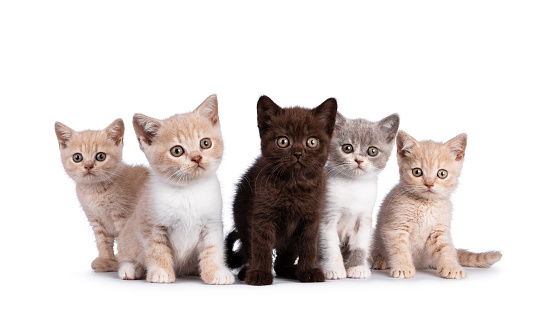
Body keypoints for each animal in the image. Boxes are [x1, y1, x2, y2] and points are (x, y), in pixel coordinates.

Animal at [55, 119, 149, 272]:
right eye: (77, 157)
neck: (95, 191)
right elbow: (102, 242)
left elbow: (124, 239)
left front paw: (124, 262)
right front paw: (107, 260)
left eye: (100, 156)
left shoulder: (123, 217)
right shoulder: (96, 220)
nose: (88, 166)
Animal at [118, 95, 236, 286]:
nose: (197, 157)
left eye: (205, 143)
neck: (188, 190)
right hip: (126, 236)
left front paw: (216, 272)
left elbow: (212, 249)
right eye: (177, 151)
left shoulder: (211, 225)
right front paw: (161, 272)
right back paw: (130, 269)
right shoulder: (151, 225)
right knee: (125, 256)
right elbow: (157, 250)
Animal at [320, 112, 402, 280]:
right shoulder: (327, 216)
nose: (358, 160)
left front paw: (357, 268)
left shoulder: (364, 219)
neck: (353, 185)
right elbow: (330, 244)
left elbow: (360, 245)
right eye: (347, 148)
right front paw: (334, 268)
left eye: (372, 151)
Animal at [372, 132, 502, 280]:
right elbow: (399, 249)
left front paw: (451, 267)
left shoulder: (439, 231)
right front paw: (403, 267)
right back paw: (380, 261)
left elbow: (446, 249)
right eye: (417, 172)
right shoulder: (396, 227)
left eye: (442, 173)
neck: (426, 204)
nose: (429, 184)